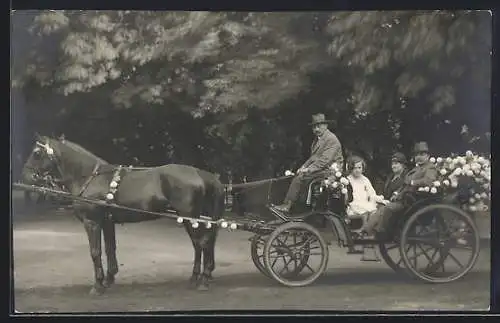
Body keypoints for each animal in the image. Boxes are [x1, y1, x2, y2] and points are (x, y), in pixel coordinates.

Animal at [21, 135, 225, 294]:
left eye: (37, 153)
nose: (27, 176)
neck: (91, 177)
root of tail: (201, 173)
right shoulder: (107, 222)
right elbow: (110, 249)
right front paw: (109, 279)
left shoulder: (92, 222)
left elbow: (95, 252)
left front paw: (98, 286)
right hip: (193, 219)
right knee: (200, 245)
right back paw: (196, 277)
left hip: (190, 218)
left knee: (202, 243)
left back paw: (203, 280)